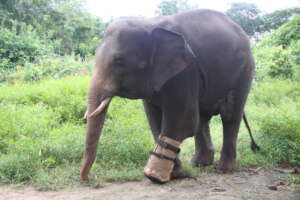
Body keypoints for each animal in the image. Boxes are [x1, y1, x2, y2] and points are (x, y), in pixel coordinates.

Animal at [81, 9, 258, 184]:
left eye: (119, 61)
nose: (88, 178)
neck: (148, 24)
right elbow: (154, 119)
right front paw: (174, 174)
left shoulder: (186, 71)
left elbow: (184, 120)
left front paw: (156, 176)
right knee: (203, 118)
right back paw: (199, 163)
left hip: (244, 70)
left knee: (229, 115)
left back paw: (224, 169)